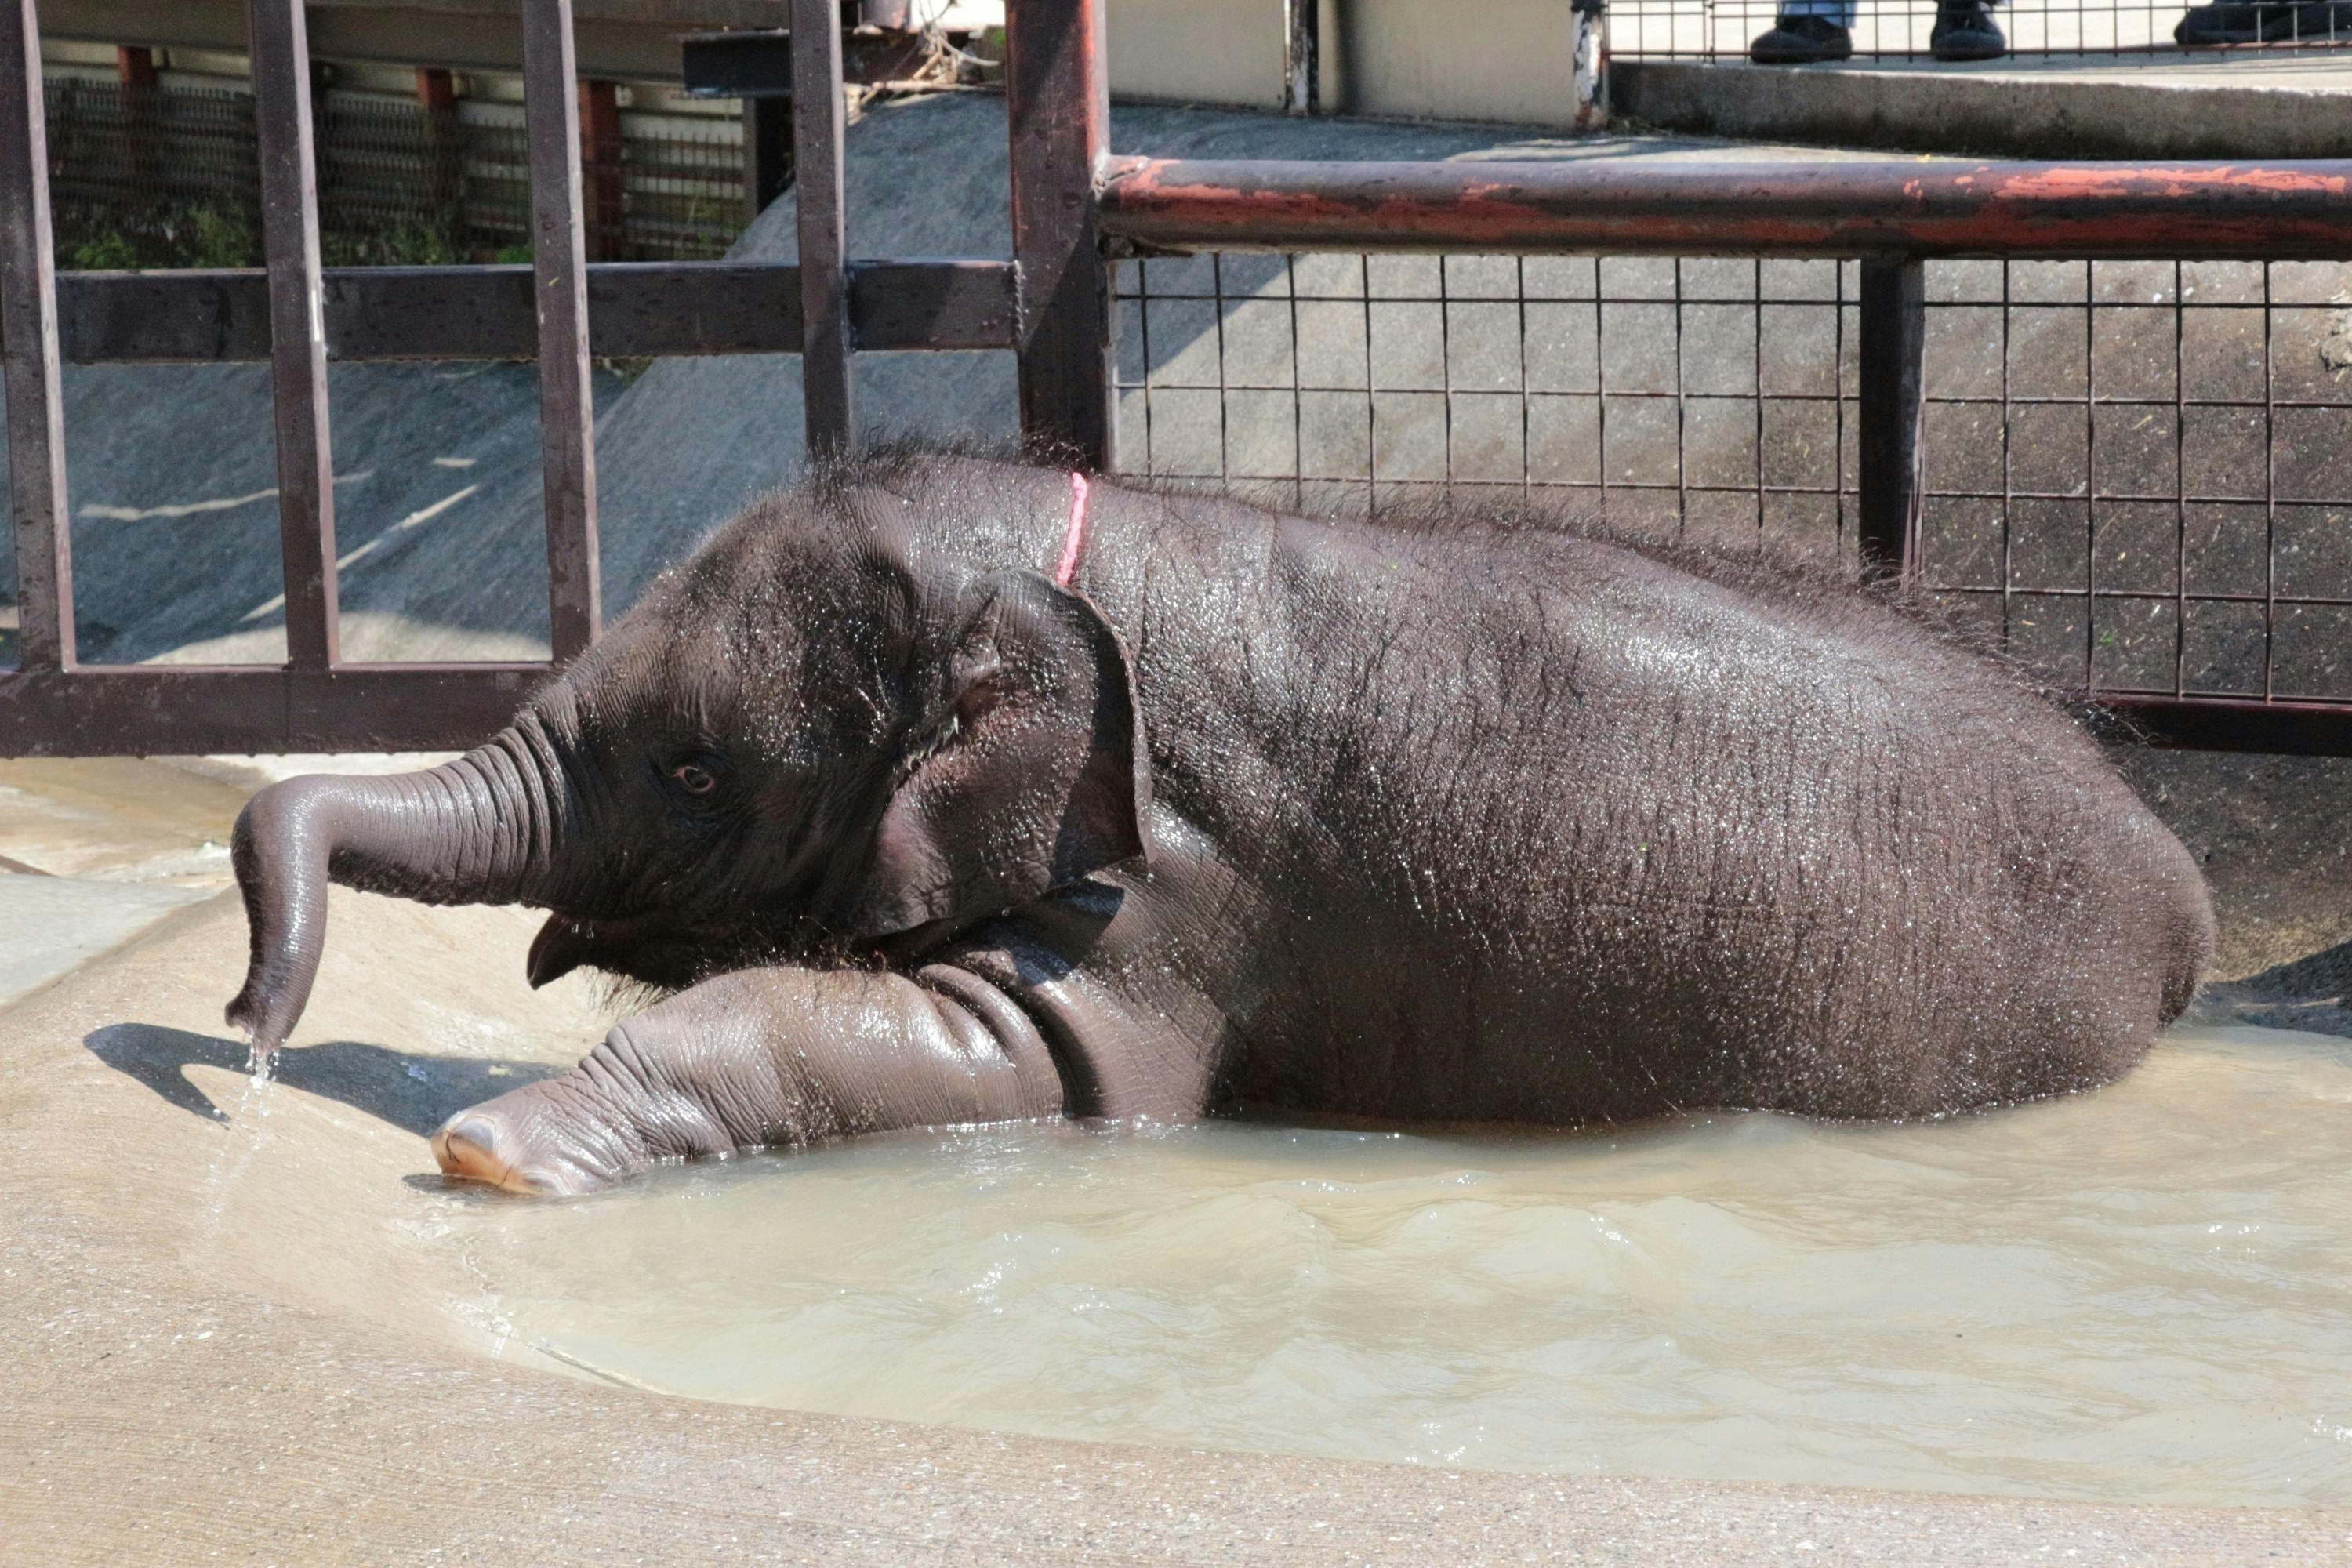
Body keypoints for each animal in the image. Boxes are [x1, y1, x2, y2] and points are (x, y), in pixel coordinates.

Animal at [229, 451, 2211, 1189]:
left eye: (698, 770)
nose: (251, 1020)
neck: (1077, 557)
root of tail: (2185, 887)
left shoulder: (1173, 887)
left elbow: (1034, 1063)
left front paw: (494, 1150)